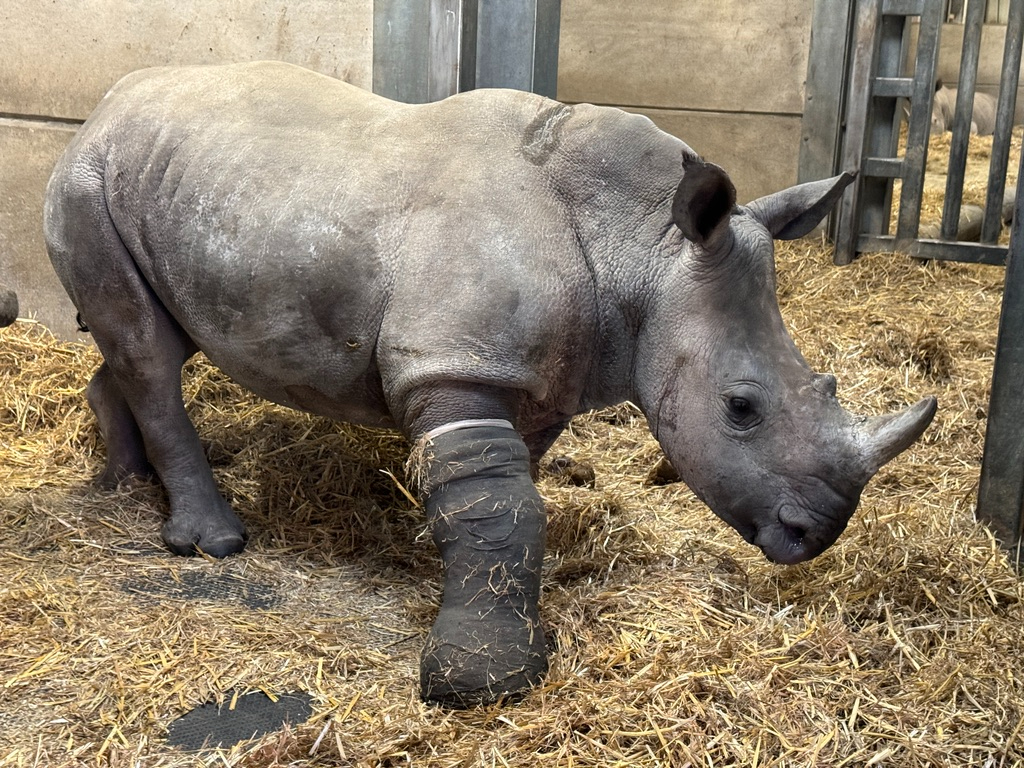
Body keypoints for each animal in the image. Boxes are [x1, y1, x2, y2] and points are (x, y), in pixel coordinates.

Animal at [41, 61, 937, 708]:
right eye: (741, 409)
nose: (814, 535)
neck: (642, 245)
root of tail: (106, 106)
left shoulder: (538, 380)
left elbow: (509, 494)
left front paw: (431, 549)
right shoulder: (456, 362)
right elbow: (503, 504)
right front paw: (480, 678)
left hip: (180, 187)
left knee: (153, 341)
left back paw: (121, 481)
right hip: (89, 181)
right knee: (151, 351)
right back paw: (211, 542)